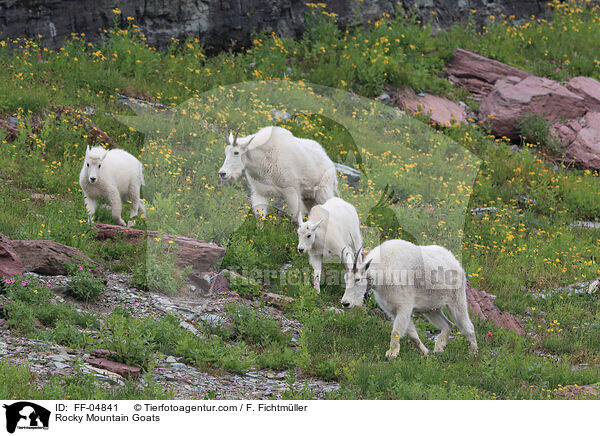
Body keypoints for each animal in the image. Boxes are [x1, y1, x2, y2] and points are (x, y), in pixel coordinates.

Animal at [342, 240, 478, 360]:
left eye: (358, 279)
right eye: (345, 279)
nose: (345, 303)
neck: (383, 272)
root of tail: (455, 262)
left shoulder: (404, 307)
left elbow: (396, 331)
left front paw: (391, 353)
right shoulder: (393, 310)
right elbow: (412, 334)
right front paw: (425, 352)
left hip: (456, 299)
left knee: (468, 326)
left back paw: (473, 354)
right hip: (431, 309)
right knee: (448, 325)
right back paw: (438, 350)